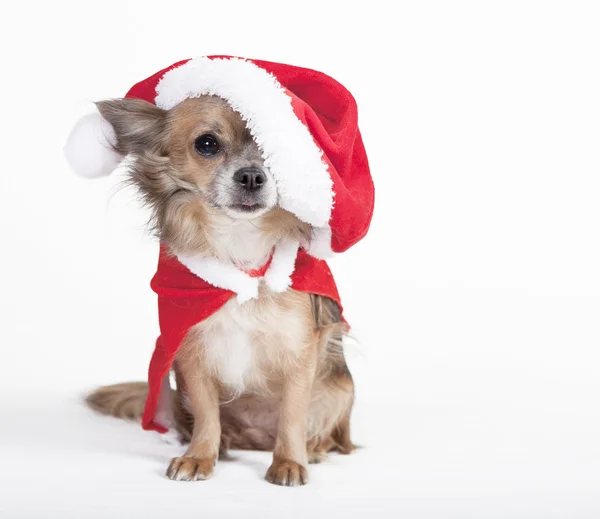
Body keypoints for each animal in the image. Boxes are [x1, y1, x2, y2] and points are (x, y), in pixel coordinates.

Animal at [86, 94, 354, 488]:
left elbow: (292, 414)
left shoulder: (300, 352)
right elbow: (207, 413)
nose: (253, 175)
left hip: (340, 387)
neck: (239, 247)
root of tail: (255, 440)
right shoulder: (191, 351)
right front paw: (200, 456)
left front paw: (289, 461)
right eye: (207, 144)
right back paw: (224, 444)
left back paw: (314, 448)